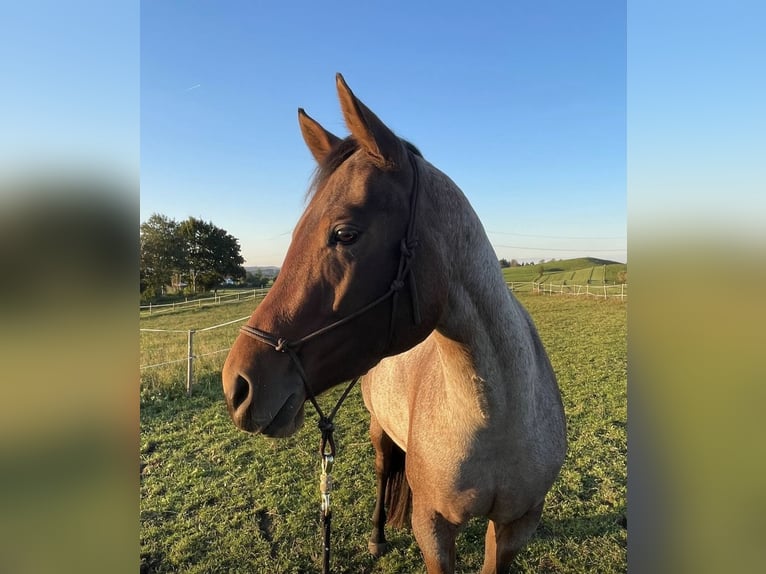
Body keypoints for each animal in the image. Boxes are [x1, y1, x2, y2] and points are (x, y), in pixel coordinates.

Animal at [222, 74, 567, 574]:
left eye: (345, 234)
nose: (237, 385)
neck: (497, 414)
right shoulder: (433, 527)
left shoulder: (515, 526)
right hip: (379, 431)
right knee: (385, 471)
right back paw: (377, 536)